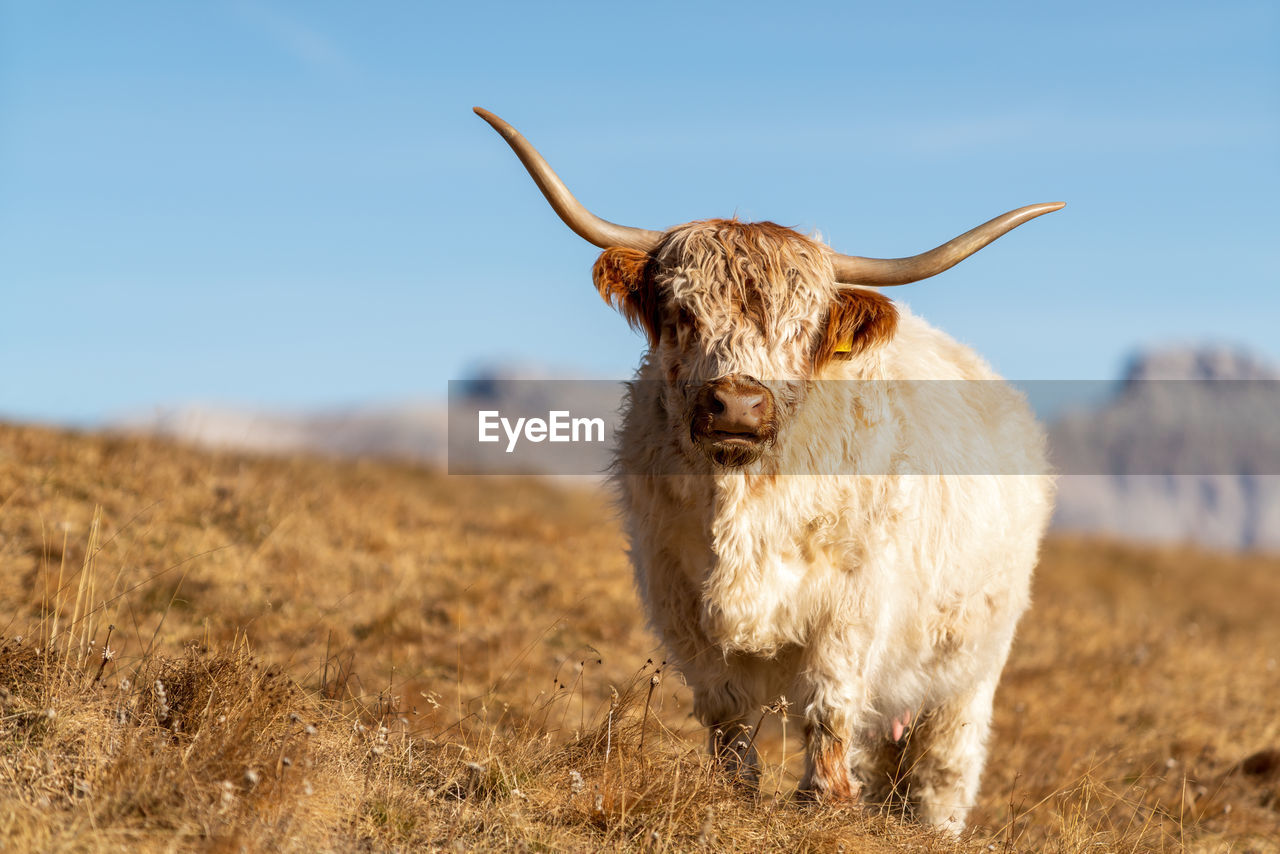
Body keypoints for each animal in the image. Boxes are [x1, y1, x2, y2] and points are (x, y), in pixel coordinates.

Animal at [481, 108, 1059, 834]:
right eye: (681, 313)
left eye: (805, 325)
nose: (737, 403)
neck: (745, 501)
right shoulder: (681, 602)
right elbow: (728, 714)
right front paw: (738, 793)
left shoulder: (852, 607)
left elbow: (829, 705)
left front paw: (824, 799)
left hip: (969, 666)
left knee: (944, 764)